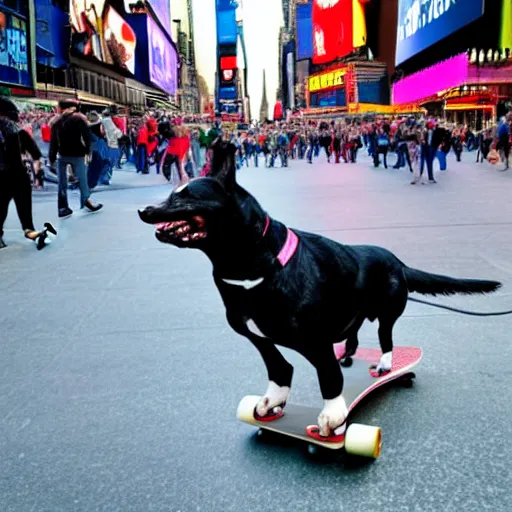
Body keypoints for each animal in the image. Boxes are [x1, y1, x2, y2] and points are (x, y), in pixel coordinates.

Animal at [138, 141, 502, 440]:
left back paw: (384, 366)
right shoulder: (257, 335)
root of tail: (397, 260)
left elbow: (328, 378)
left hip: (388, 311)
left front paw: (333, 417)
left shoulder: (315, 341)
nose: (144, 210)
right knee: (354, 329)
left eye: (185, 195)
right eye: (172, 193)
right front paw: (273, 401)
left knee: (386, 338)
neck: (251, 268)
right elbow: (278, 366)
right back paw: (351, 352)